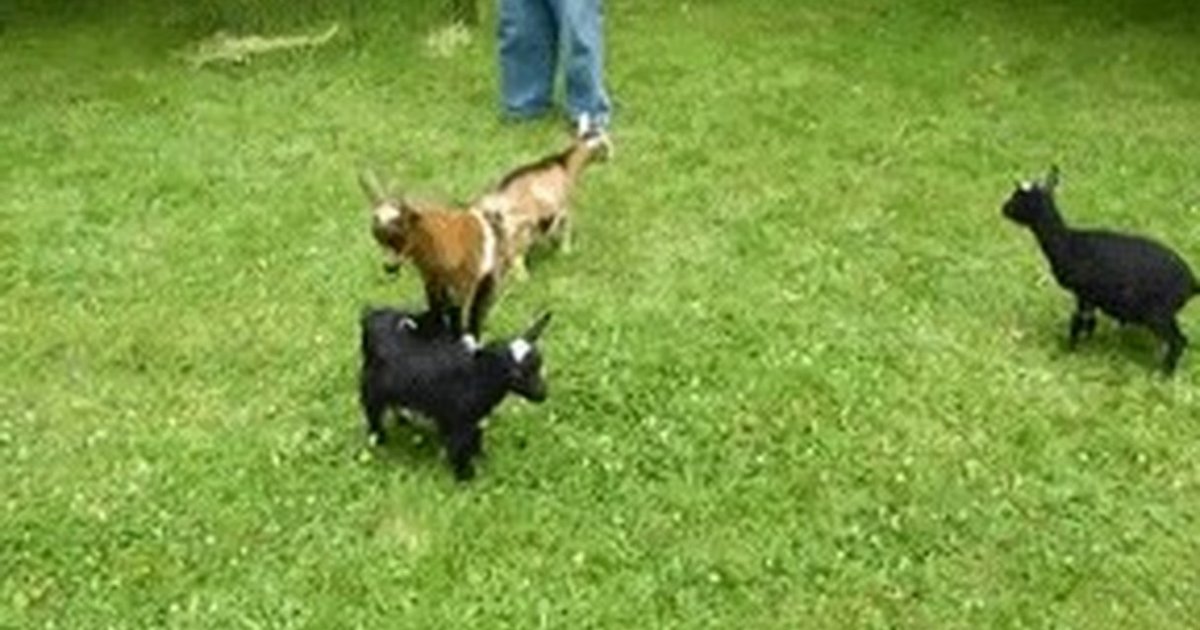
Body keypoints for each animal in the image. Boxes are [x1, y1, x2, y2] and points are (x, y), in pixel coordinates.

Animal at [359, 306, 552, 480]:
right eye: (515, 374)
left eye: (539, 363)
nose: (542, 394)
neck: (476, 375)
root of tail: (372, 315)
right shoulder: (460, 420)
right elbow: (460, 447)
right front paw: (465, 477)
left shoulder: (474, 419)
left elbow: (475, 440)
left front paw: (481, 458)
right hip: (372, 387)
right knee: (372, 412)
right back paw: (378, 439)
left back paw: (403, 421)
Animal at [360, 170, 506, 339]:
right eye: (376, 225)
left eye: (403, 223)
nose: (389, 266)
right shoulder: (431, 279)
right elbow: (436, 309)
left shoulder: (461, 281)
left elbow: (458, 313)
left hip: (487, 278)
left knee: (476, 310)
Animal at [474, 128, 611, 279]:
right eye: (604, 145)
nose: (610, 156)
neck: (565, 164)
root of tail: (495, 197)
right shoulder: (565, 206)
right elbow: (565, 229)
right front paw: (566, 252)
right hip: (521, 227)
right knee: (515, 255)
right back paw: (524, 278)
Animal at [1002, 165, 1199, 374]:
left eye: (1018, 197)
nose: (1003, 209)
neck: (1068, 242)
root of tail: (1192, 283)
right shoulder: (1090, 297)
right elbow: (1090, 323)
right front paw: (1087, 346)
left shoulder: (1082, 293)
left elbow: (1077, 321)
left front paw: (1070, 350)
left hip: (1158, 312)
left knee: (1178, 341)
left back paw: (1164, 374)